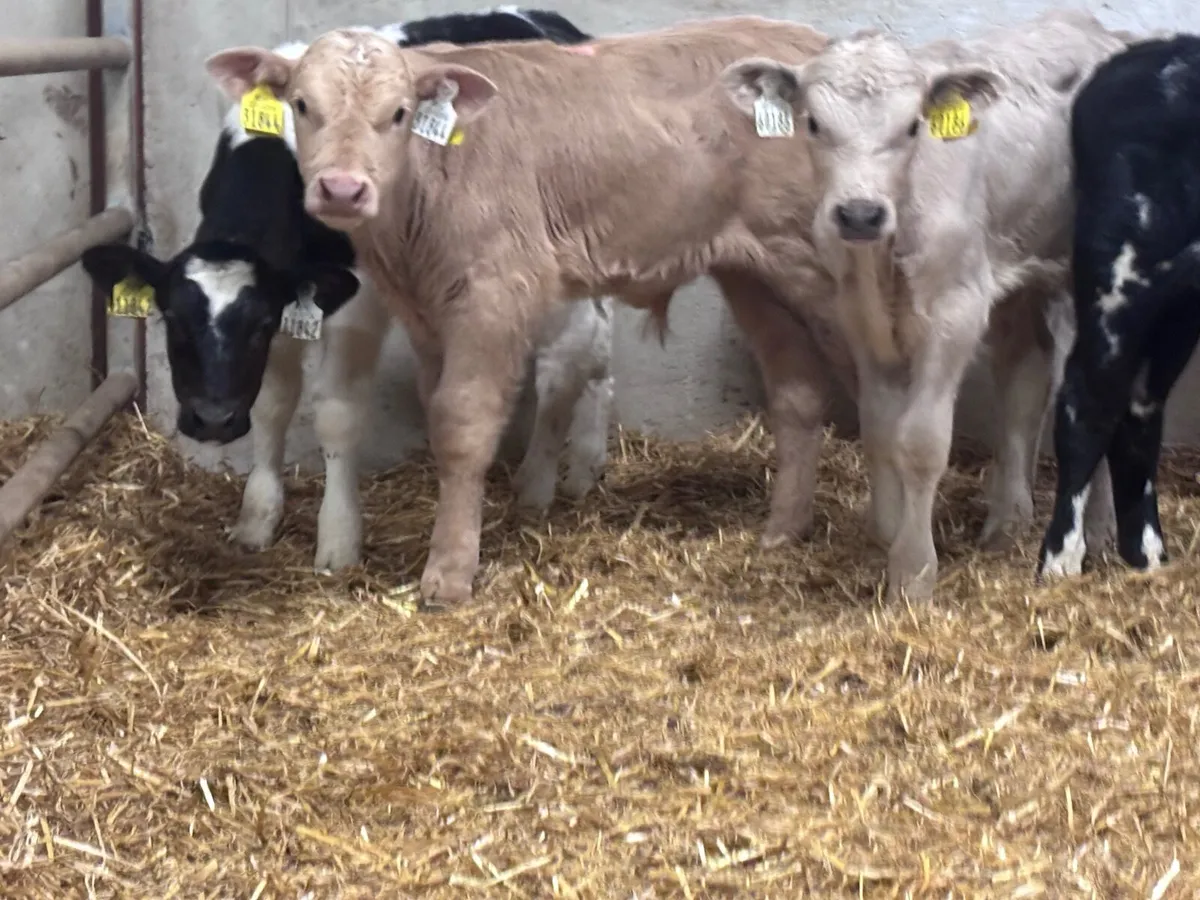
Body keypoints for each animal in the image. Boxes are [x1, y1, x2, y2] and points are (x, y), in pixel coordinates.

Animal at [80, 8, 612, 574]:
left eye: (257, 324)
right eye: (173, 319)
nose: (213, 420)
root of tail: (552, 21)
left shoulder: (357, 302)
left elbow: (337, 416)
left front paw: (337, 540)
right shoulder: (290, 296)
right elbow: (273, 405)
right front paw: (257, 517)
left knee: (570, 354)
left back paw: (540, 482)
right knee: (600, 346)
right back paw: (585, 466)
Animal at [203, 17, 871, 609]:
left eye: (398, 113)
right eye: (301, 105)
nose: (342, 189)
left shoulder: (493, 293)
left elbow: (464, 423)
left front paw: (448, 574)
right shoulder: (427, 316)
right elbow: (438, 412)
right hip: (756, 274)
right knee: (797, 394)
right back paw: (783, 531)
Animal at [718, 10, 1129, 601]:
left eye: (913, 126)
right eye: (813, 123)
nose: (860, 213)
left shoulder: (955, 310)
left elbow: (920, 442)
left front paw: (912, 574)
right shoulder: (858, 314)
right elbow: (879, 429)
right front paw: (886, 537)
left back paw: (1096, 536)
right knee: (1023, 383)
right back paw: (1007, 525)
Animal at [1037, 32, 1200, 582]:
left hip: (1179, 304)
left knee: (1139, 408)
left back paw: (1147, 553)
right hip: (1120, 272)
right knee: (1088, 403)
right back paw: (1061, 562)